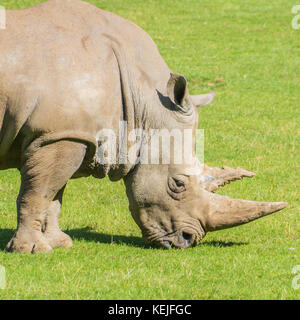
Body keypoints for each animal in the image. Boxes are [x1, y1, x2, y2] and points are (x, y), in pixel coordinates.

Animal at [0, 0, 286, 252]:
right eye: (178, 184)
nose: (188, 240)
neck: (141, 99)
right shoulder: (58, 134)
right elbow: (38, 192)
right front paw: (32, 249)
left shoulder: (68, 135)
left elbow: (55, 194)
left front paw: (60, 243)